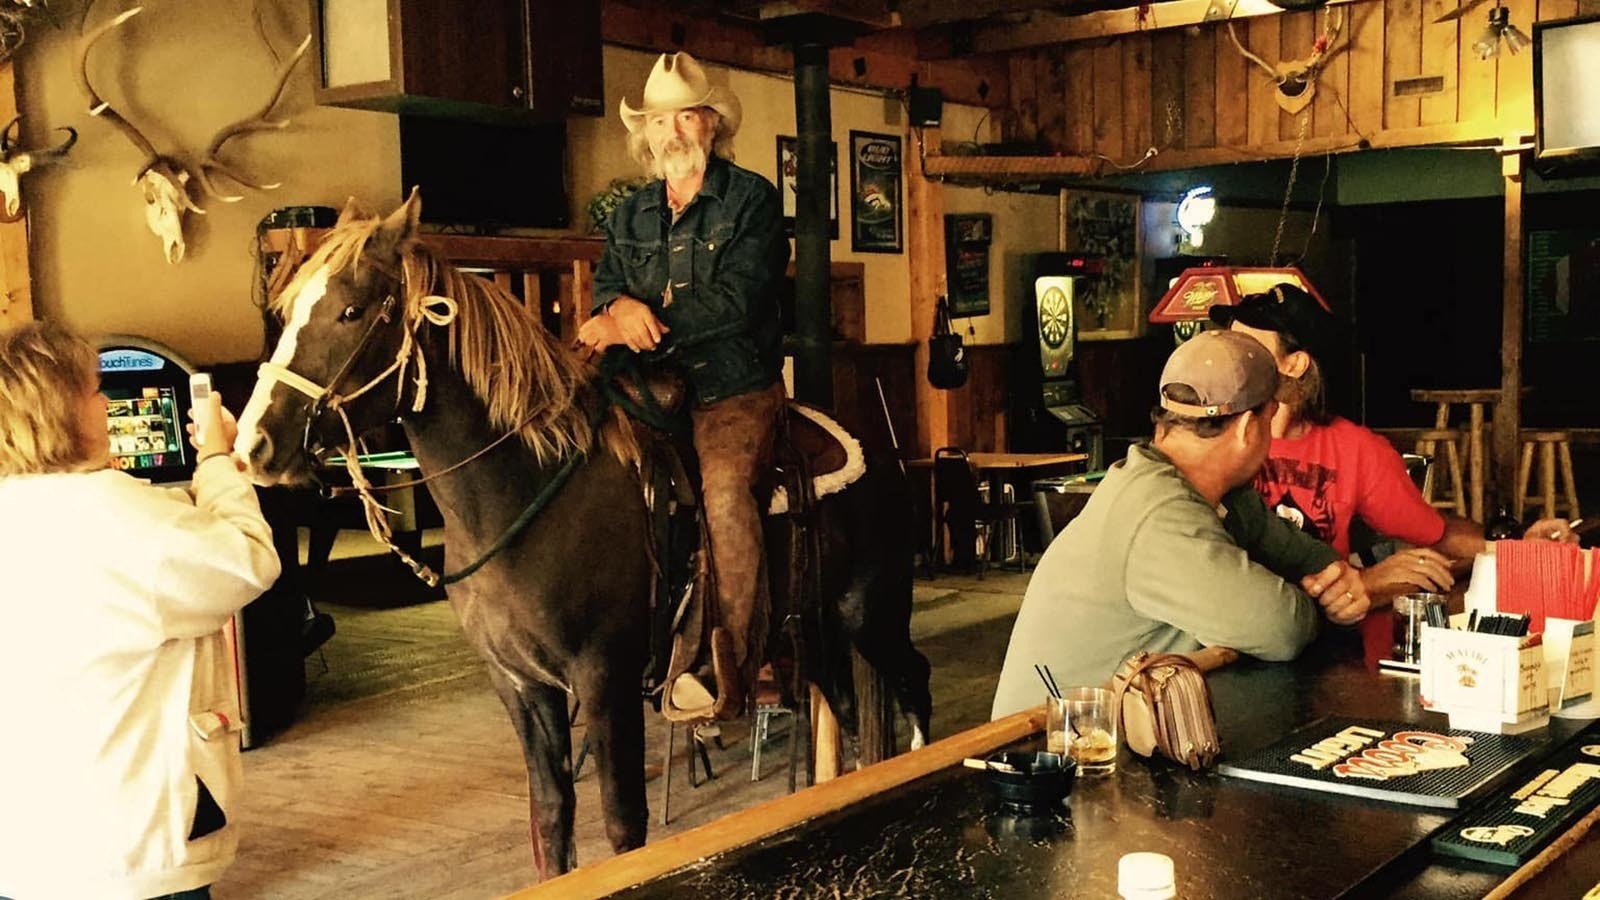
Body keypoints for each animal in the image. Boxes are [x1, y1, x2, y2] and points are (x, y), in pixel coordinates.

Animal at [232, 194, 934, 877]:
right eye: (285, 310)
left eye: (351, 310)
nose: (254, 447)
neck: (528, 495)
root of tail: (880, 452)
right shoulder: (522, 687)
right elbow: (551, 819)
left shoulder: (605, 681)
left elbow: (624, 824)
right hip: (817, 630)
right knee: (846, 715)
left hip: (872, 616)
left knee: (914, 685)